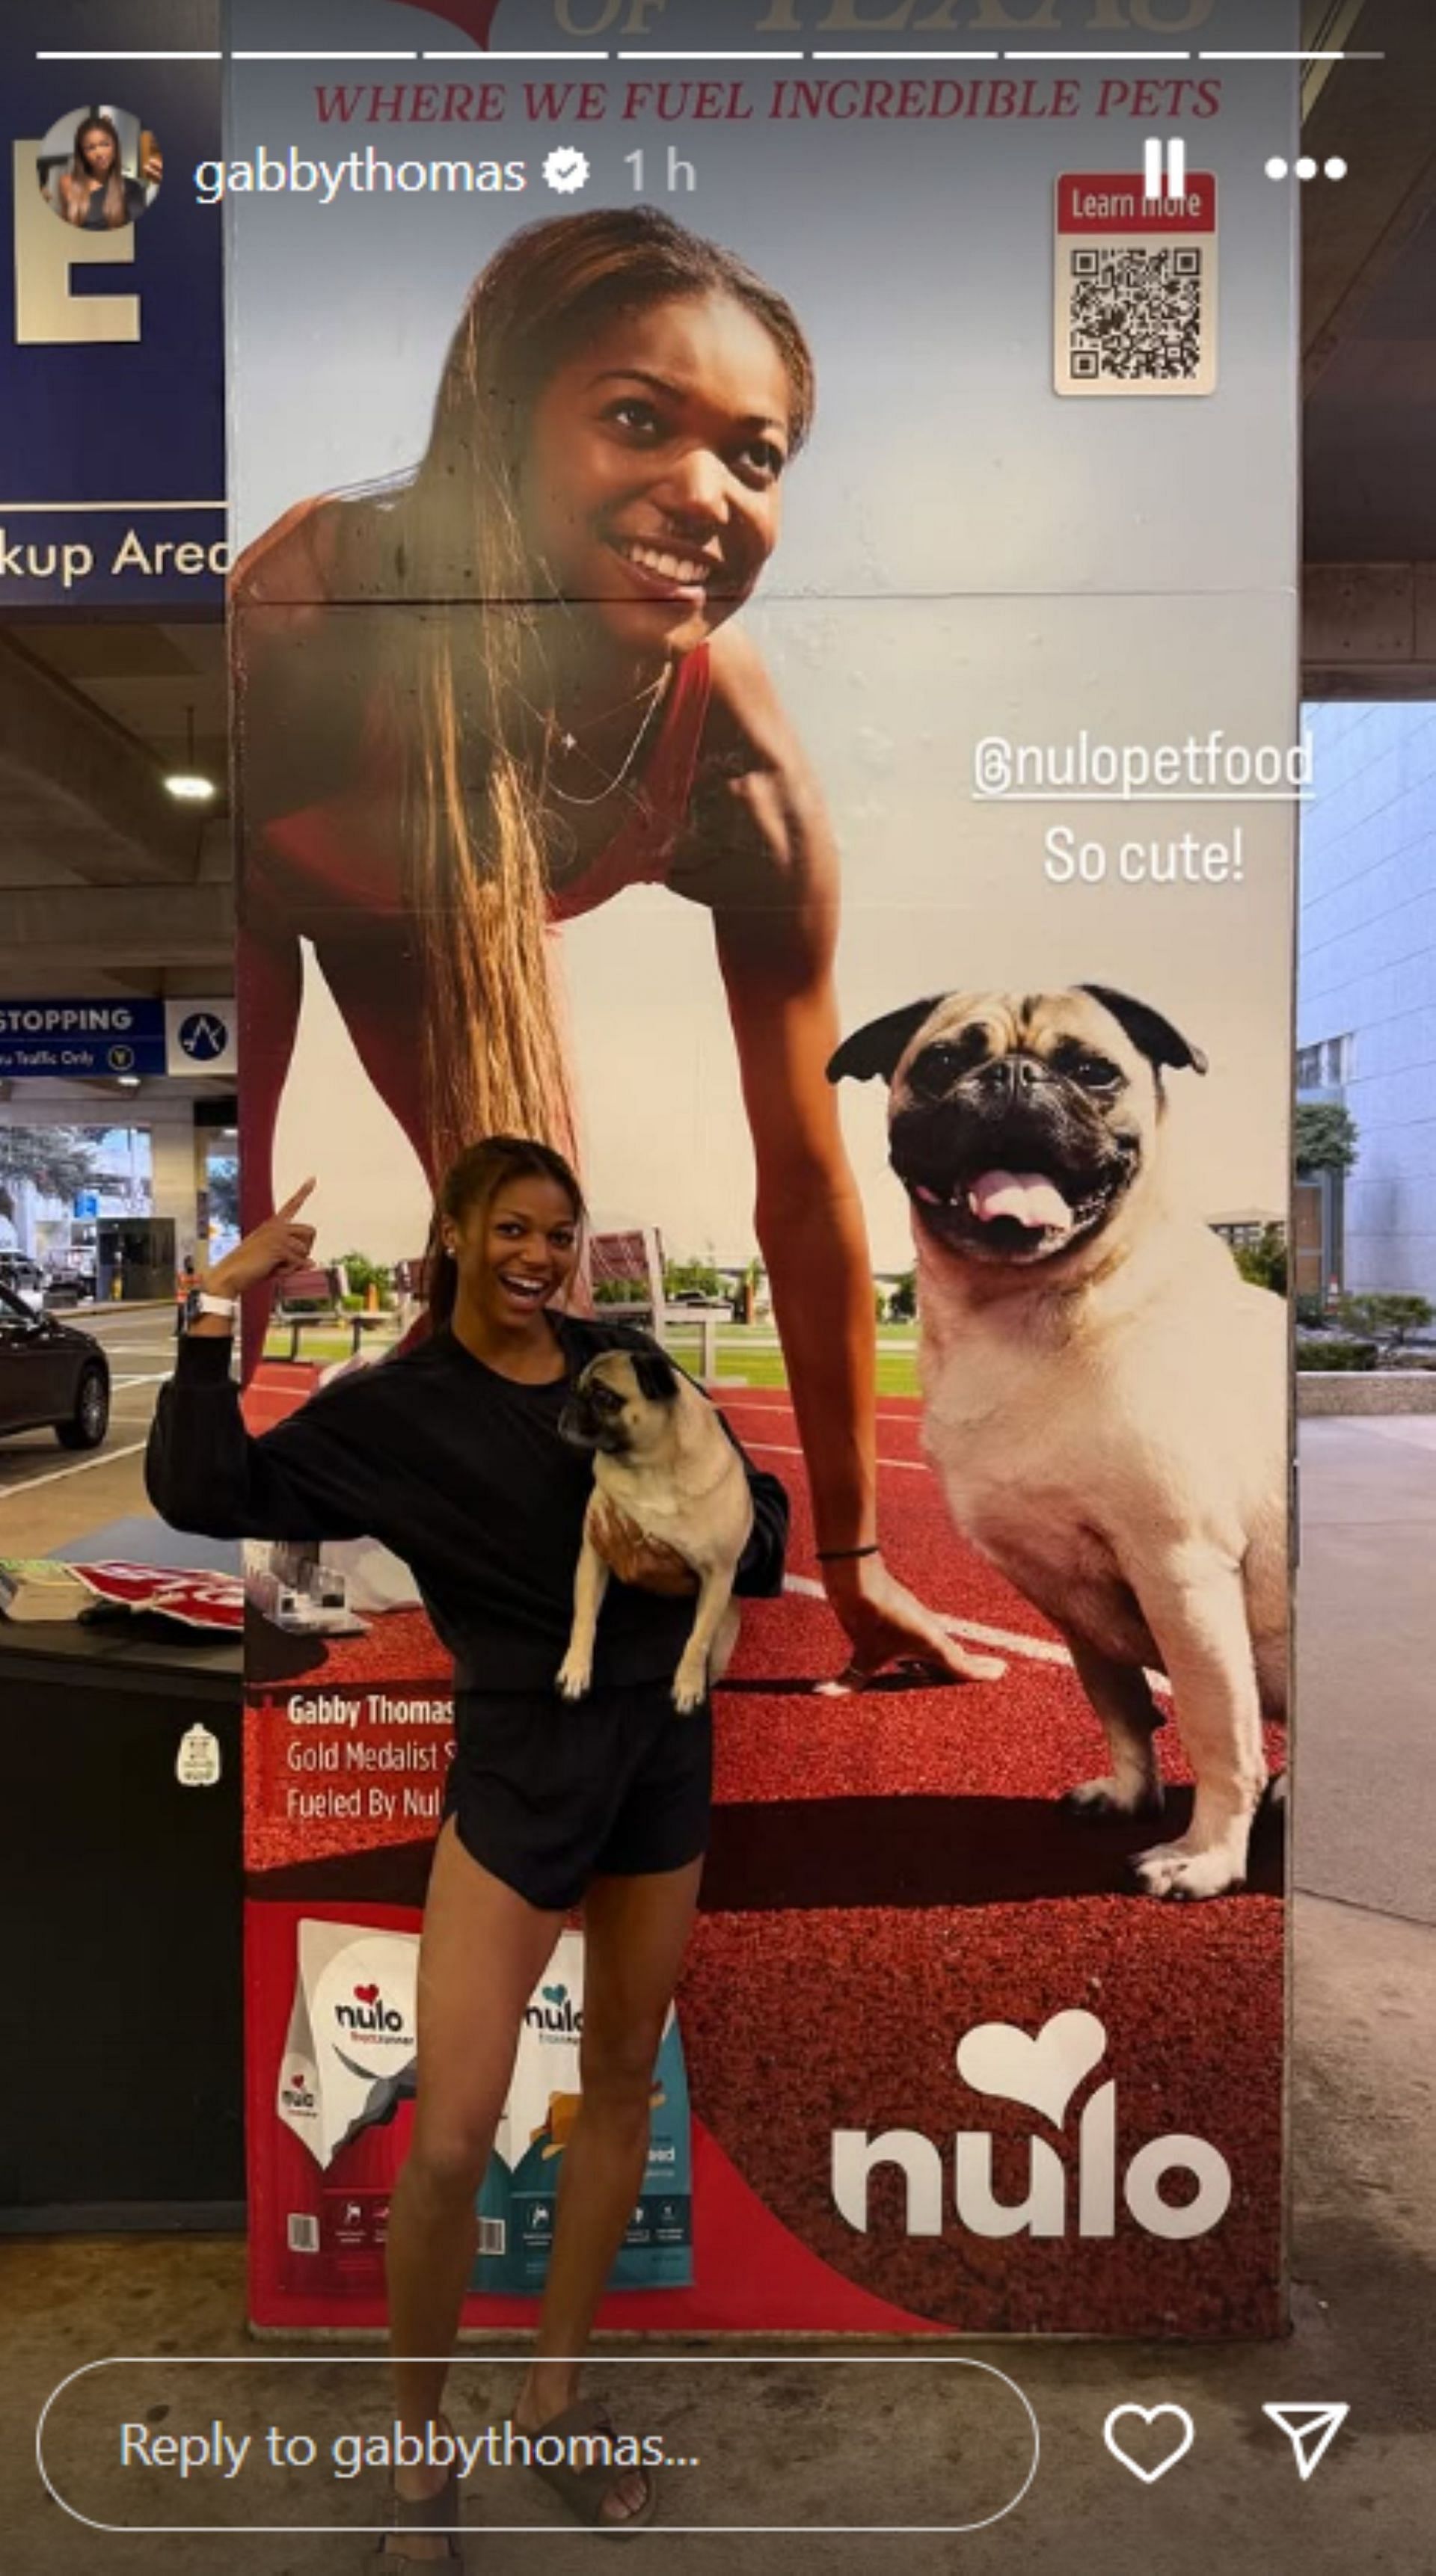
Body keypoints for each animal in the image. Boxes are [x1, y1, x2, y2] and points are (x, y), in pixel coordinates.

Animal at [554, 1350, 752, 1710]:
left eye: (604, 1397)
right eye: (576, 1389)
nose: (570, 1403)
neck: (649, 1469)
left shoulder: (718, 1574)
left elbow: (698, 1639)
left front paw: (688, 1685)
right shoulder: (594, 1553)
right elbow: (585, 1617)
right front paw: (575, 1669)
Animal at [825, 979, 1283, 1896]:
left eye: (1093, 1071)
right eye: (942, 1062)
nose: (1013, 1076)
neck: (1023, 1313)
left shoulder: (1182, 1573)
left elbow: (1216, 1727)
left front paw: (1206, 1855)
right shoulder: (1064, 1592)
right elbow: (1120, 1703)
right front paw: (1131, 1793)